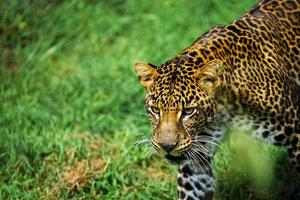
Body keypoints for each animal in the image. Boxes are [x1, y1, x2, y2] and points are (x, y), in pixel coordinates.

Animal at [134, 0, 300, 199]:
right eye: (155, 110)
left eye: (188, 111)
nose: (166, 146)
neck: (224, 108)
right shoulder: (196, 156)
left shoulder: (296, 134)